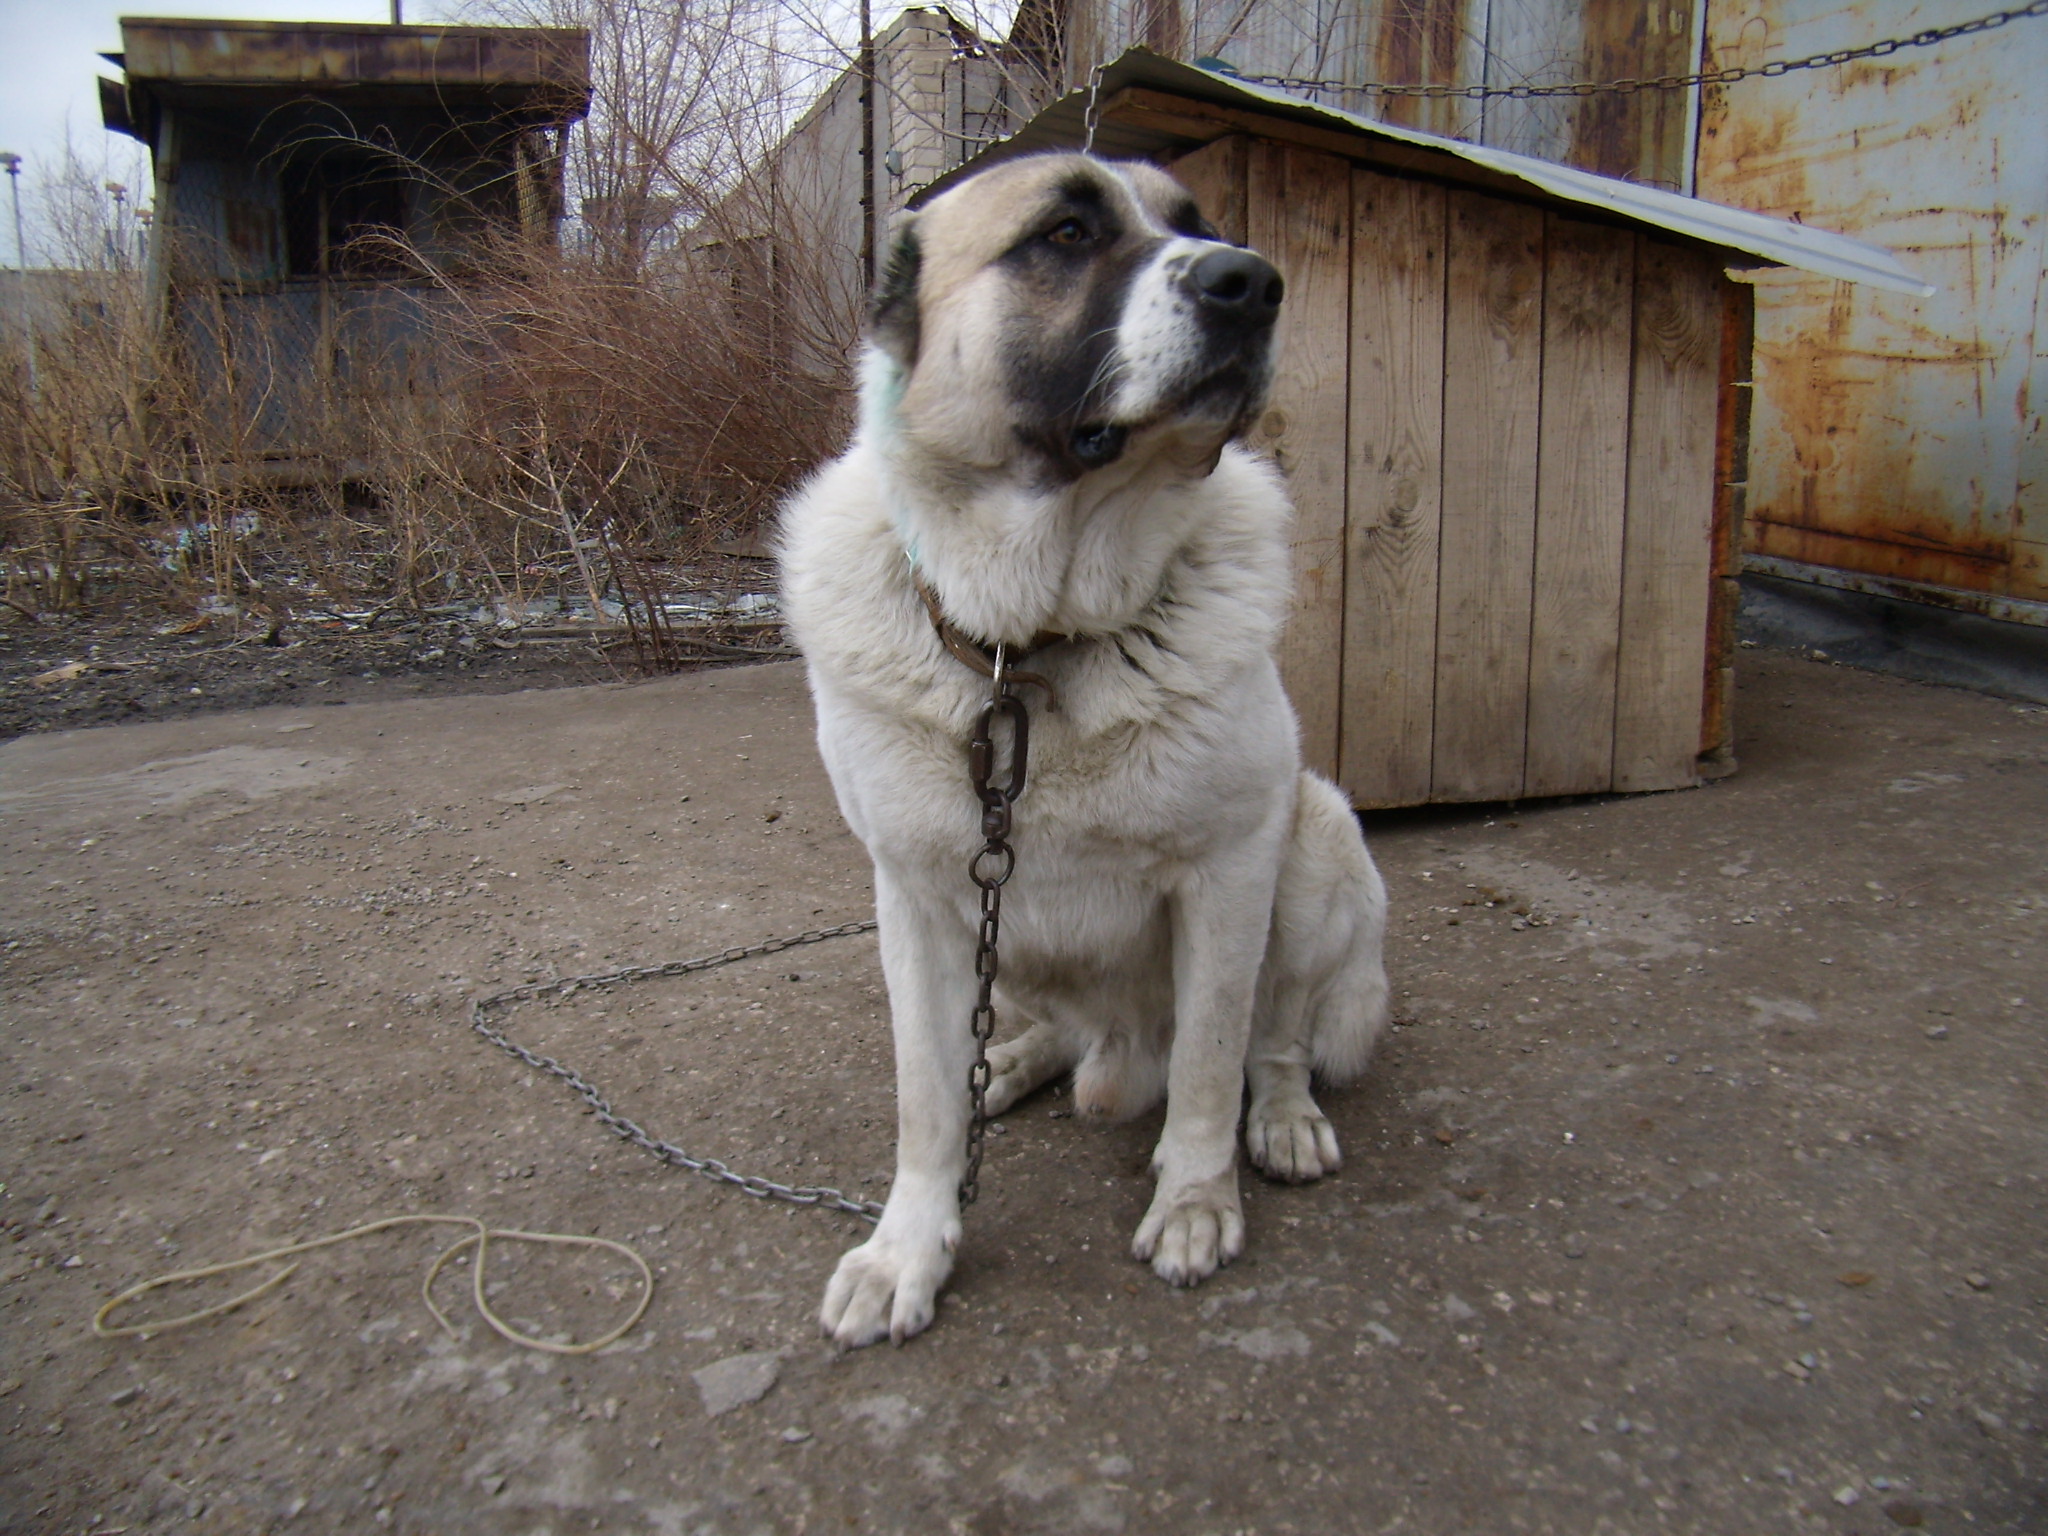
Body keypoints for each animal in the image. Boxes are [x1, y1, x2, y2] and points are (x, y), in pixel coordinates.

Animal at [779, 152, 1389, 1348]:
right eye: (1064, 233)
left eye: (1199, 222)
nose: (1252, 282)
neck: (1028, 647)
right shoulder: (916, 902)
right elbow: (927, 1101)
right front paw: (908, 1250)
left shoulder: (1230, 872)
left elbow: (1210, 1062)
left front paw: (1195, 1201)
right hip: (1003, 929)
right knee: (1047, 1033)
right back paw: (1016, 1063)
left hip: (1316, 838)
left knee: (1277, 1034)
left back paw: (1283, 1119)